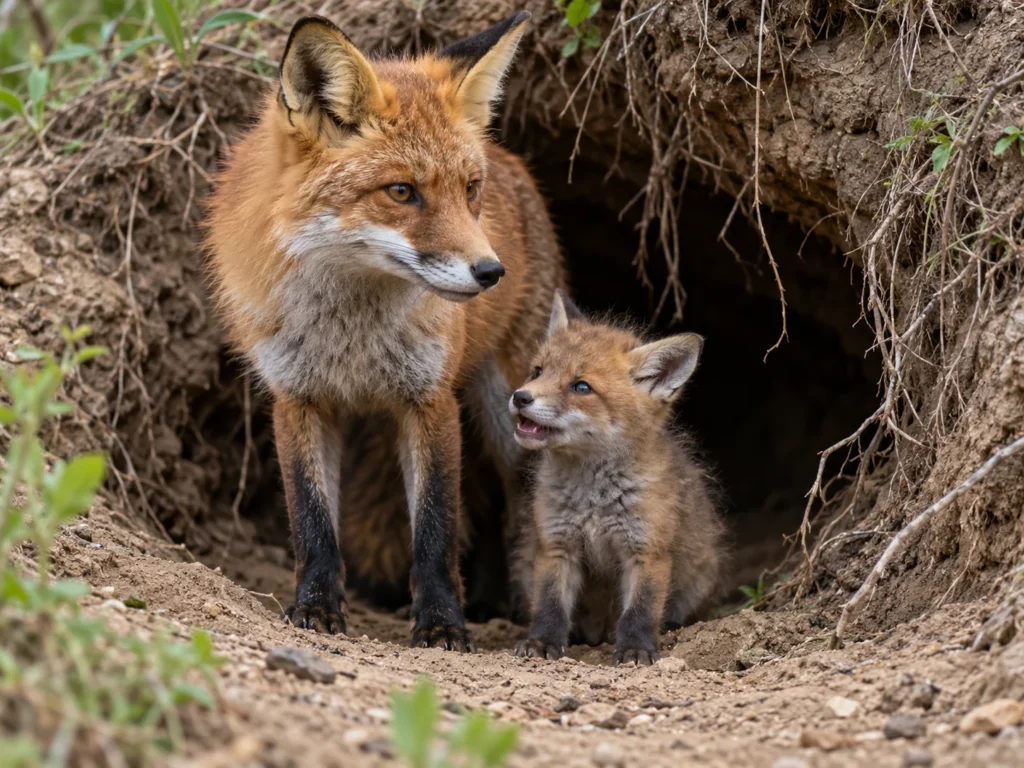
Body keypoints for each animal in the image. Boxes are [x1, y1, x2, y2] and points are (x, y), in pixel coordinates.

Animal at [205, 12, 564, 651]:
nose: (491, 272)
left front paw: (443, 623)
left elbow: (436, 528)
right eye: (402, 191)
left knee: (516, 505)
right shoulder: (297, 400)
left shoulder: (429, 400)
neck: (353, 334)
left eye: (469, 190)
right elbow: (313, 522)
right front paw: (317, 608)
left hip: (508, 416)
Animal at [510, 292, 725, 665]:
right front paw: (542, 642)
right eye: (537, 371)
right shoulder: (557, 545)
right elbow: (550, 604)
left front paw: (636, 649)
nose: (521, 397)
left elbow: (640, 609)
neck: (593, 499)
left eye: (581, 387)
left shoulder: (647, 550)